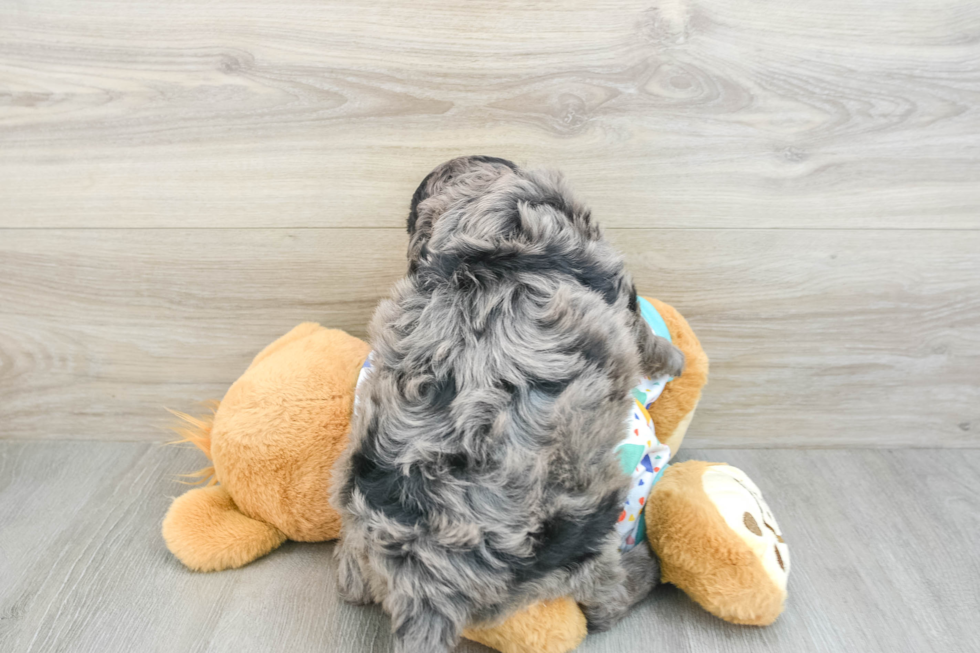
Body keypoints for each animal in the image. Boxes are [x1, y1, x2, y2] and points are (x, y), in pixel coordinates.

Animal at [334, 155, 684, 648]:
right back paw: (644, 569)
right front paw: (673, 357)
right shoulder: (618, 288)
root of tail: (420, 585)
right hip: (579, 542)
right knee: (604, 601)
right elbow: (644, 334)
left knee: (352, 582)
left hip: (358, 540)